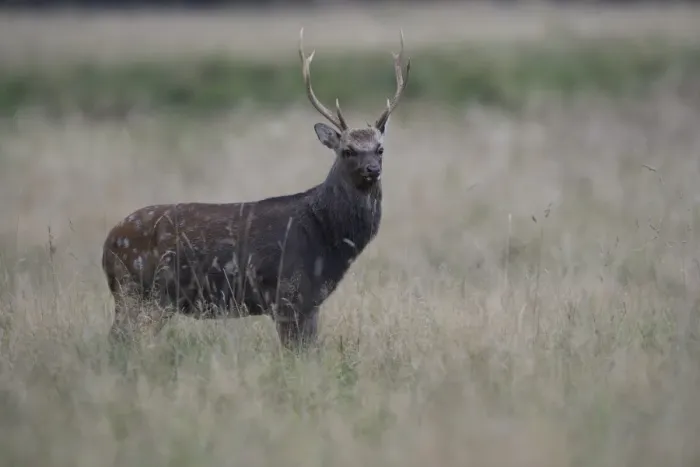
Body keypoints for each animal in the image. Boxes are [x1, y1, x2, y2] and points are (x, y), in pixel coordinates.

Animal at [101, 28, 411, 351]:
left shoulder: (310, 302)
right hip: (135, 291)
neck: (326, 238)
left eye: (380, 149)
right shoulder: (288, 293)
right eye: (347, 151)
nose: (372, 170)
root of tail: (107, 244)